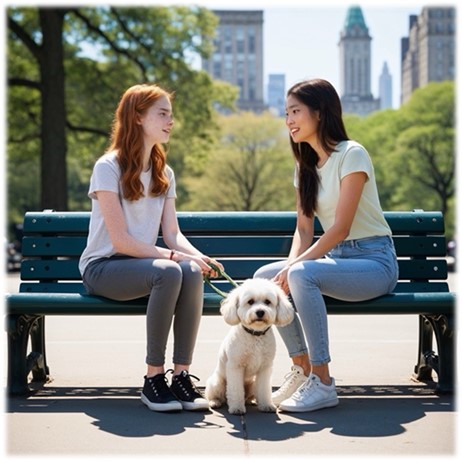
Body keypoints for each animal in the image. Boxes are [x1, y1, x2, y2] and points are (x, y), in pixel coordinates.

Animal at [205, 278, 292, 416]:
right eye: (250, 301)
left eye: (267, 302)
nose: (260, 312)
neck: (255, 334)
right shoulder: (236, 367)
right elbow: (236, 390)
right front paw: (236, 407)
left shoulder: (265, 368)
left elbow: (264, 389)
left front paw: (266, 405)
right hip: (217, 383)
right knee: (217, 396)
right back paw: (215, 402)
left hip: (252, 384)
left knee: (249, 395)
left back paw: (250, 401)